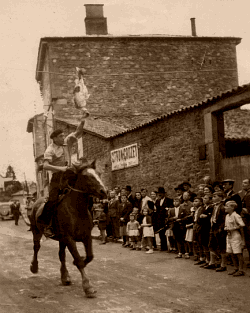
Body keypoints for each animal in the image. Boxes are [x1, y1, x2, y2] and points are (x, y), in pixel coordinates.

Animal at [29, 161, 106, 298]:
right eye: (87, 176)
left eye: (98, 173)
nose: (104, 191)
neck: (76, 210)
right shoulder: (69, 239)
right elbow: (79, 261)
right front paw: (88, 287)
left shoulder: (86, 236)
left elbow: (89, 256)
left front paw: (78, 263)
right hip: (36, 231)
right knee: (36, 247)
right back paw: (34, 267)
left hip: (61, 239)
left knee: (61, 255)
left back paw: (65, 276)